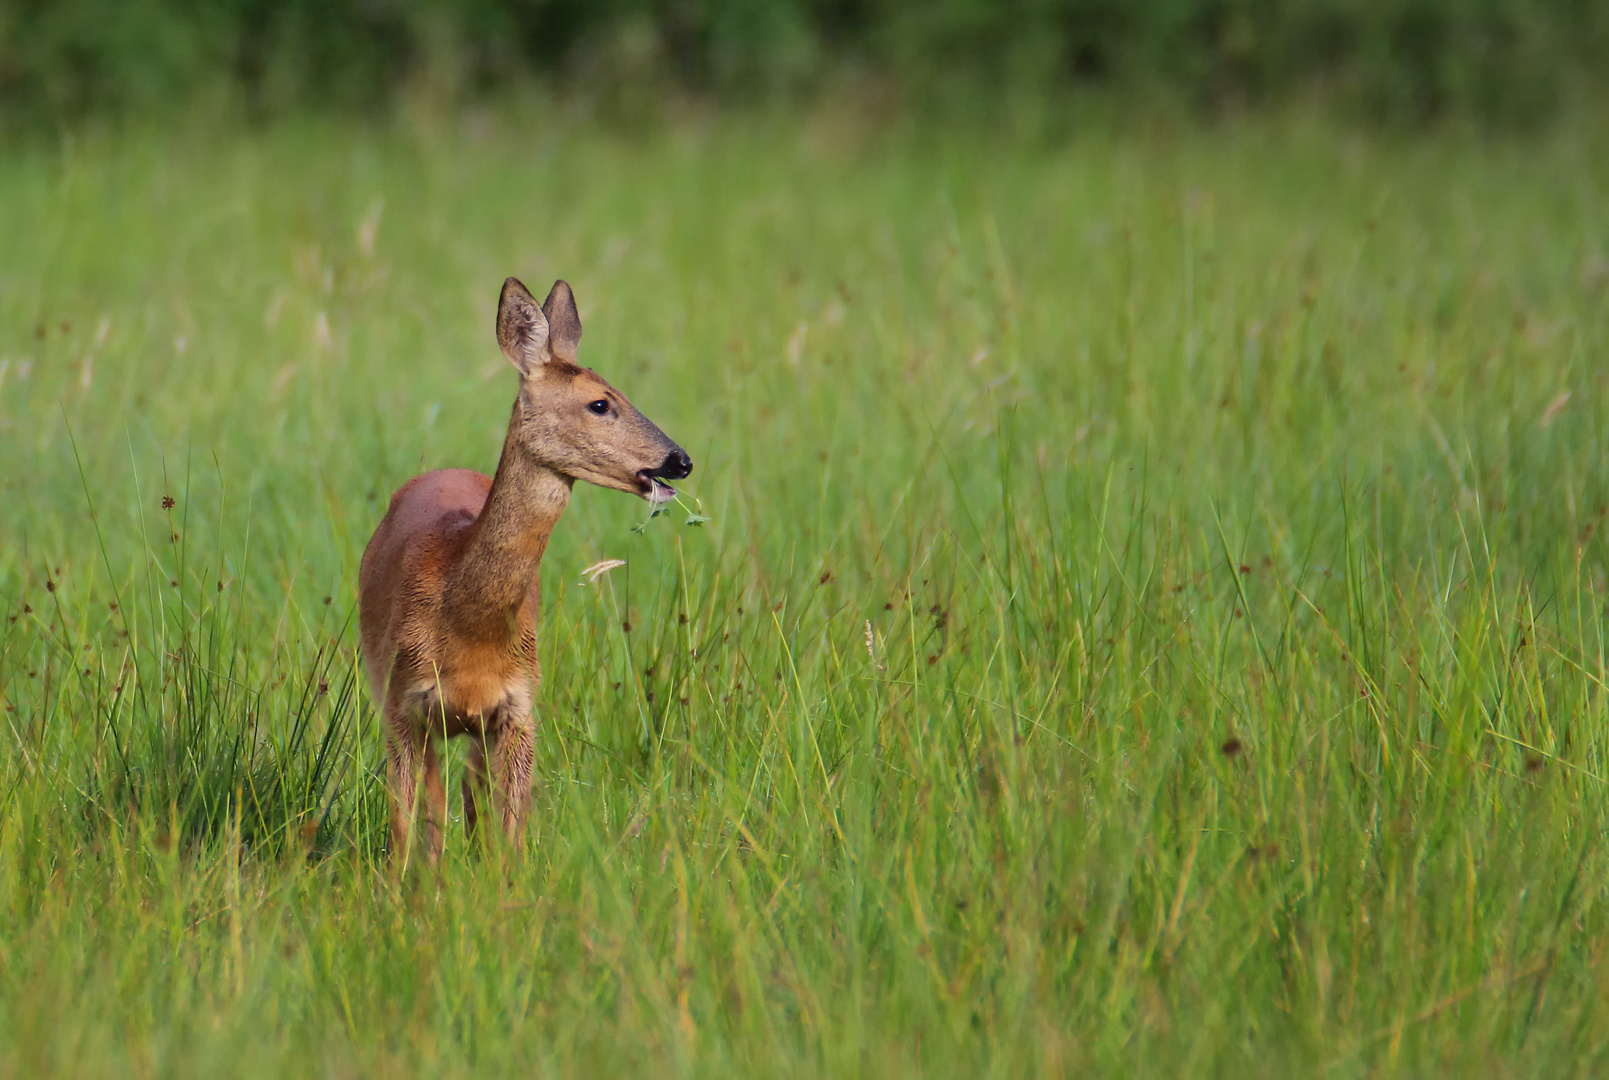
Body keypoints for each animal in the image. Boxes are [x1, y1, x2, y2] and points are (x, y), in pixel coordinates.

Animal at [358, 278, 691, 869]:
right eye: (600, 403)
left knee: (467, 800)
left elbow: (510, 833)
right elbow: (403, 823)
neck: (465, 625)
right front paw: (398, 890)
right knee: (437, 806)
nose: (680, 460)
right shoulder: (401, 703)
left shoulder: (519, 709)